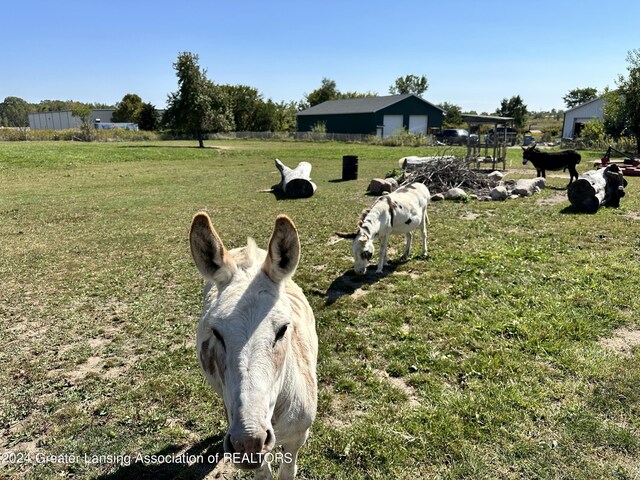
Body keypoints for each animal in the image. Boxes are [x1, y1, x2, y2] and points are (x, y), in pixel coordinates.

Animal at [190, 212, 320, 478]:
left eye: (283, 329)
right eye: (215, 332)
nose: (248, 444)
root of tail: (245, 250)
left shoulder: (297, 438)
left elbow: (287, 472)